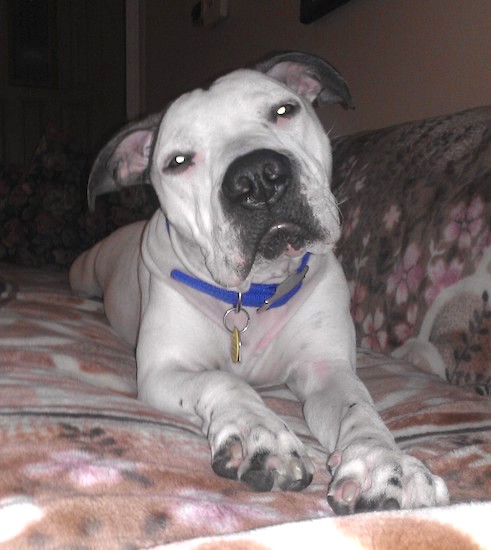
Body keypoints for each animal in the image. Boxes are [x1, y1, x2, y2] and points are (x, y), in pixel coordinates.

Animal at [69, 51, 450, 516]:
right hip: (83, 271)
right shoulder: (164, 370)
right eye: (178, 161)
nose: (256, 176)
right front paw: (260, 436)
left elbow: (360, 409)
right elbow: (223, 381)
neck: (252, 291)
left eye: (284, 110)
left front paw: (385, 462)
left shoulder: (326, 369)